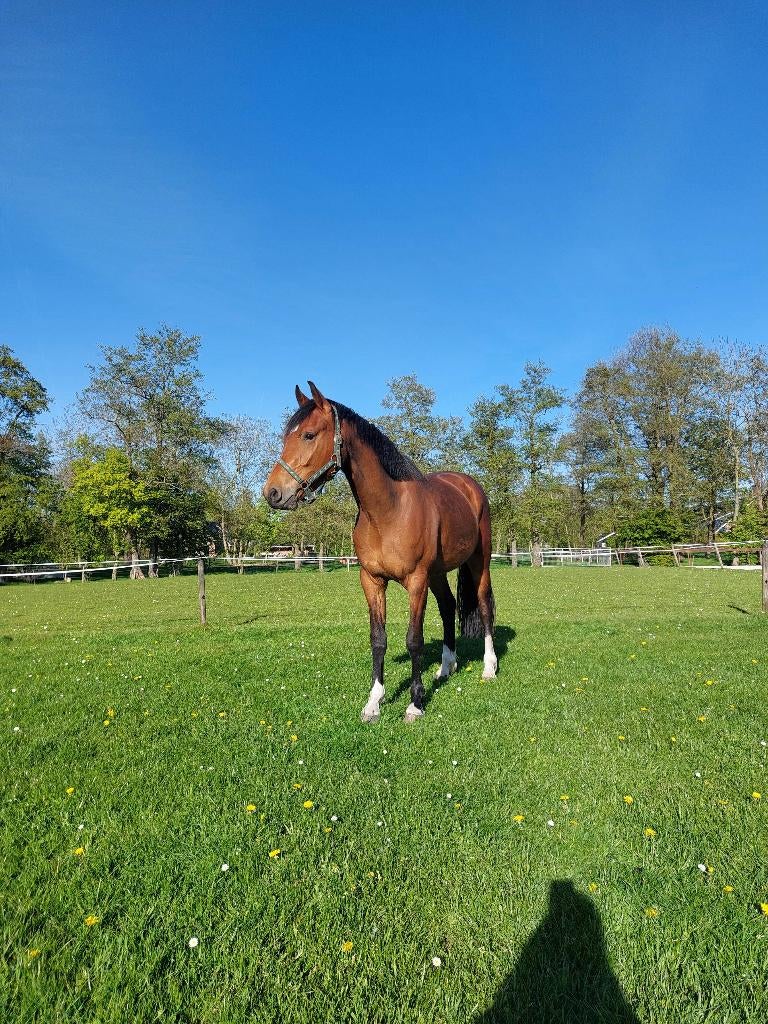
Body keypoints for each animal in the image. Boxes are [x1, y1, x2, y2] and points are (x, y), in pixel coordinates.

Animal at [263, 381, 497, 723]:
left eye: (308, 434)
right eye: (285, 437)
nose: (273, 493)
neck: (389, 511)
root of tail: (470, 486)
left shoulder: (416, 582)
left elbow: (414, 640)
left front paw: (415, 704)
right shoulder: (372, 581)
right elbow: (378, 639)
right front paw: (373, 702)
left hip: (479, 563)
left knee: (484, 606)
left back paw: (489, 668)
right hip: (438, 573)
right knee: (448, 606)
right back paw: (445, 668)